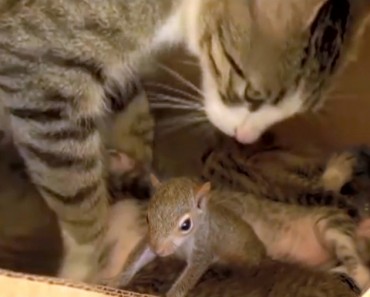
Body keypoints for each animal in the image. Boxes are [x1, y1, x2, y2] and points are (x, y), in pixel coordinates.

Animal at [0, 0, 370, 280]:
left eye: (300, 110)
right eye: (250, 94)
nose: (246, 137)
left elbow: (132, 114)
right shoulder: (45, 79)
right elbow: (82, 205)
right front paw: (79, 270)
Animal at [107, 173, 266, 296]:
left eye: (186, 225)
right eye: (147, 218)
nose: (158, 251)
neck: (182, 244)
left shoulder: (203, 248)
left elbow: (189, 276)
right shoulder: (150, 240)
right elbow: (138, 257)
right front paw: (116, 280)